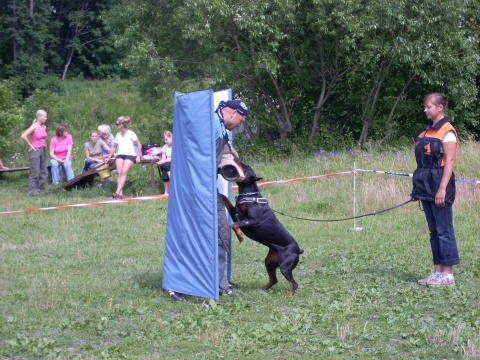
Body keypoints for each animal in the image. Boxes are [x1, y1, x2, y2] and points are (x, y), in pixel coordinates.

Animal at [221, 163, 304, 296]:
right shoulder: (235, 214)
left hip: (285, 265)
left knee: (294, 283)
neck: (249, 194)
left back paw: (288, 295)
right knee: (274, 279)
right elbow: (225, 200)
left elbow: (235, 225)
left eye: (246, 168)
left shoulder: (253, 220)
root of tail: (298, 250)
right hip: (269, 261)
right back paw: (262, 289)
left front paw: (240, 237)